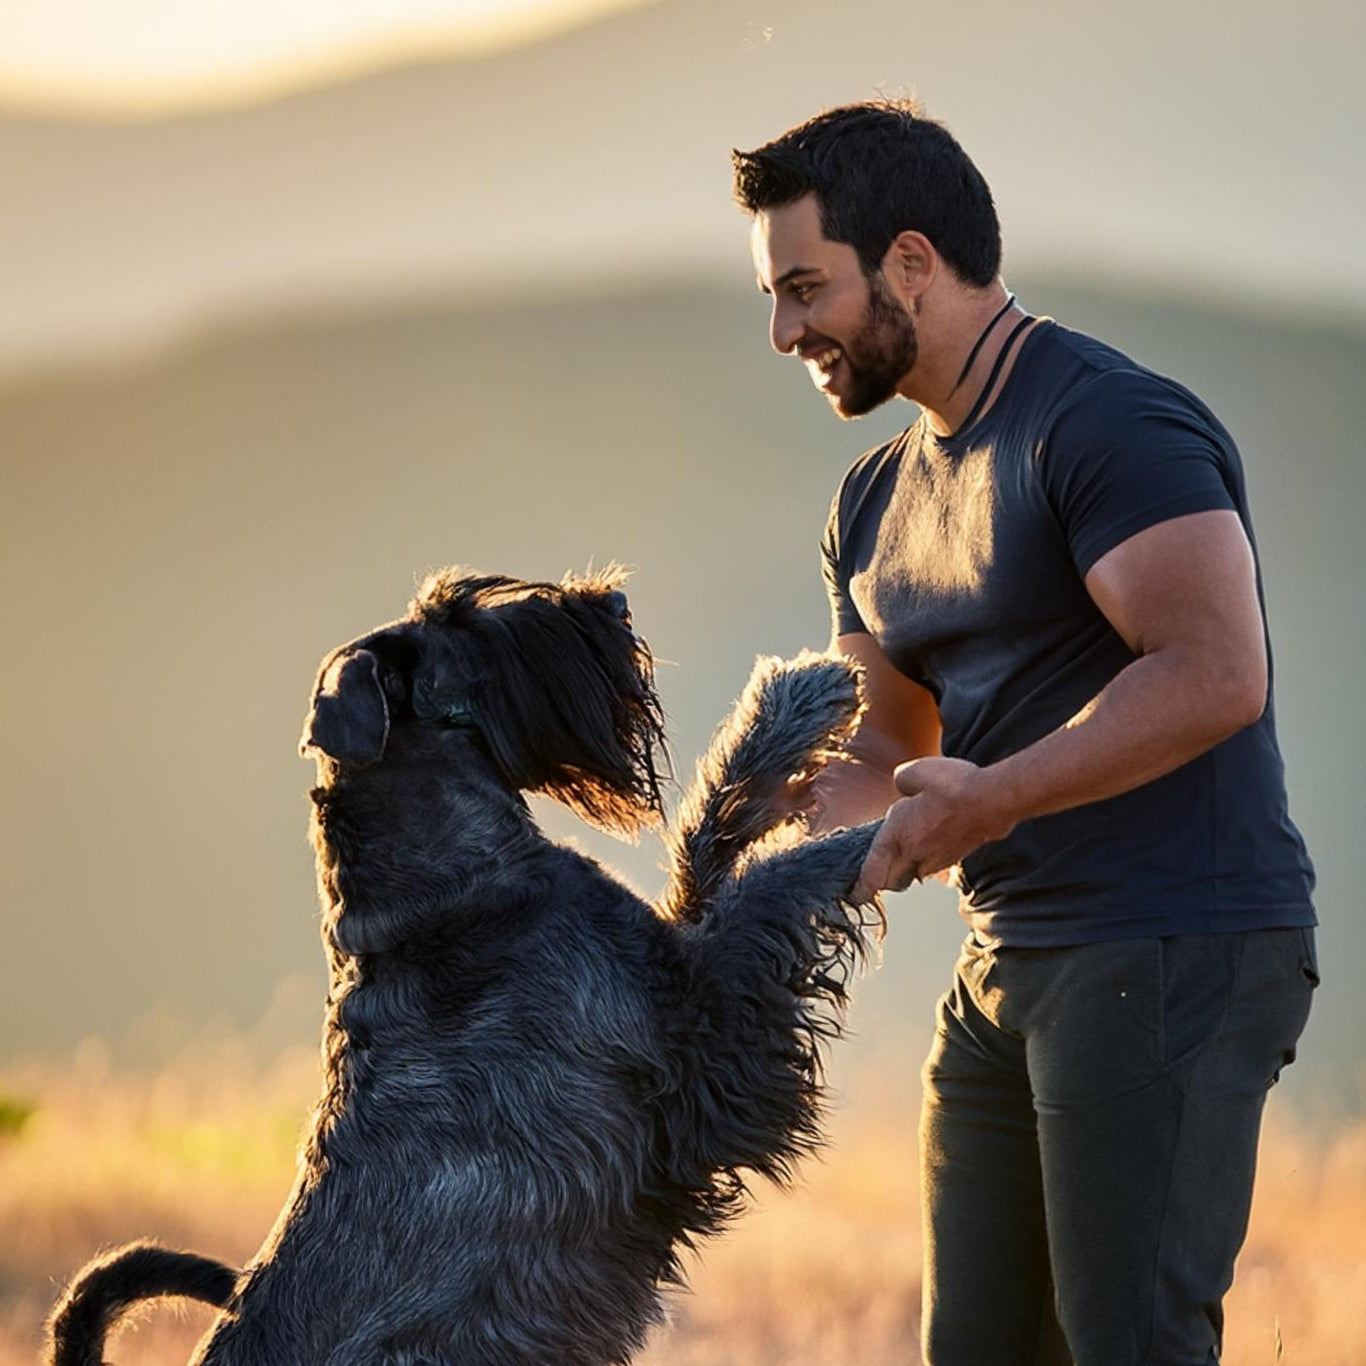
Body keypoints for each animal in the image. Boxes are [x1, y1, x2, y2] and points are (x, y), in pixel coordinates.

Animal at [48, 565, 879, 1366]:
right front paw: (868, 827)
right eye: (459, 619)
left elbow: (713, 834)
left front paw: (801, 699)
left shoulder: (676, 967)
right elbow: (766, 879)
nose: (615, 603)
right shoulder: (703, 1045)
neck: (443, 883)